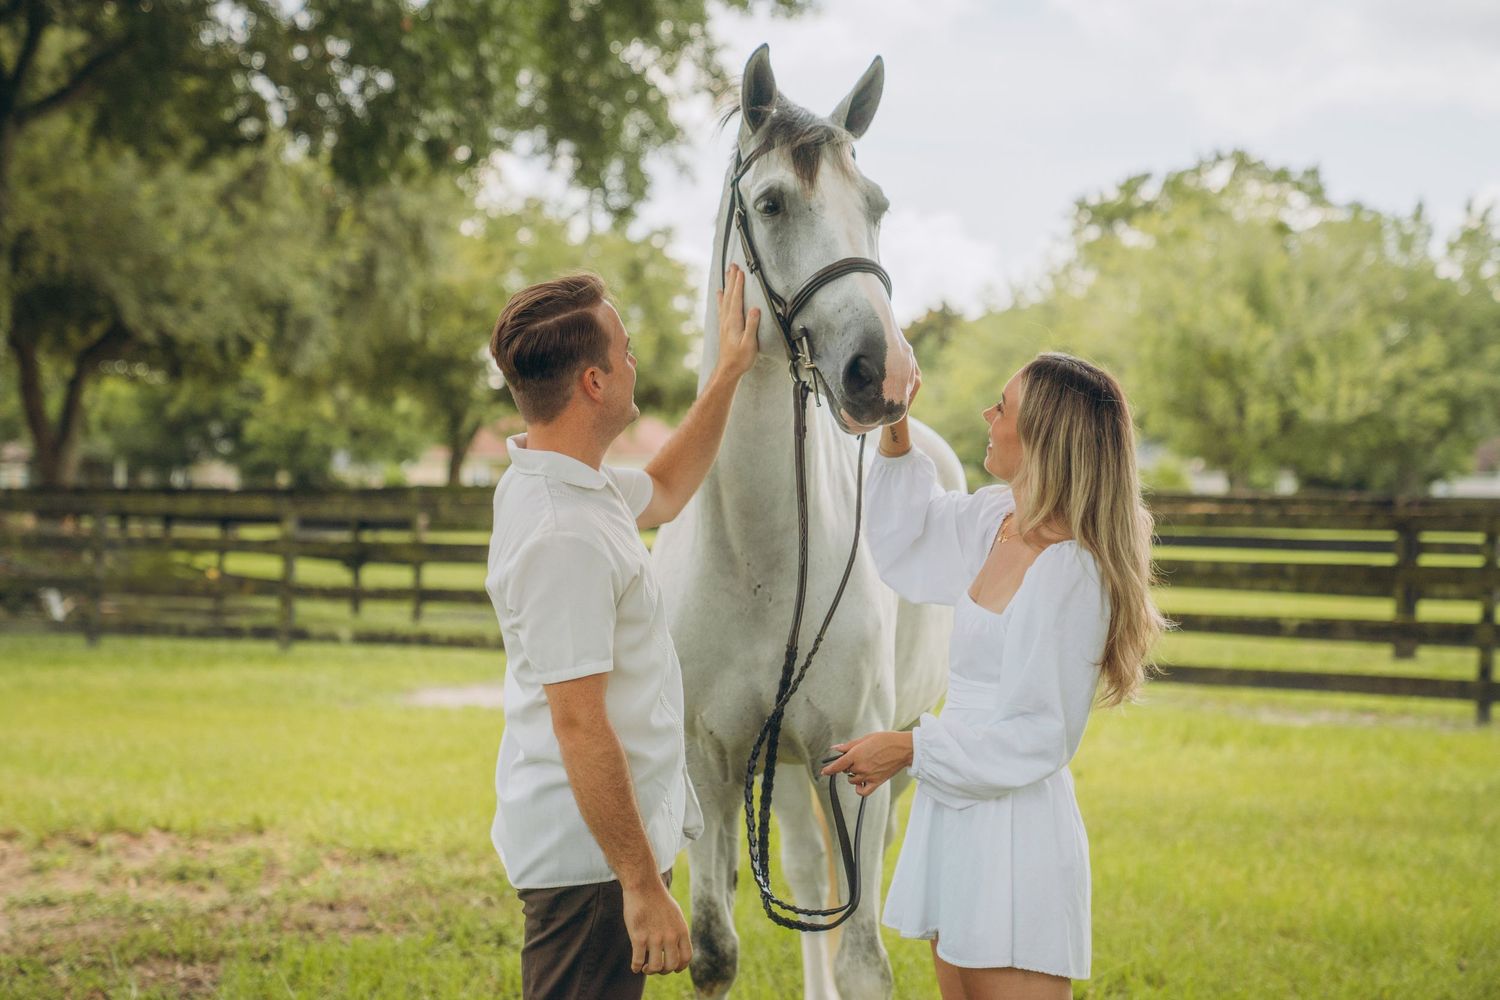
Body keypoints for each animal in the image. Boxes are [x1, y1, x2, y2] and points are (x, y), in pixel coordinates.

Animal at [652, 44, 966, 999]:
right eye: (772, 204)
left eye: (877, 205)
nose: (881, 372)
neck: (761, 560)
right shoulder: (714, 767)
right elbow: (715, 948)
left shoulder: (854, 765)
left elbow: (864, 959)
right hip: (781, 775)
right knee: (803, 870)